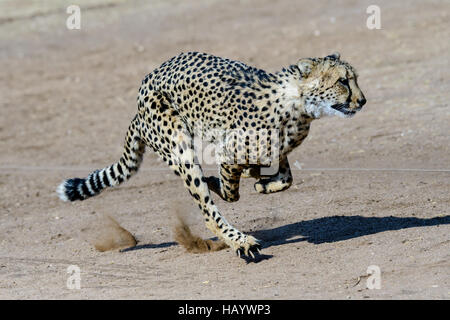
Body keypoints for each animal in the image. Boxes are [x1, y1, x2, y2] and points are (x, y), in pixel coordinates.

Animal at [57, 51, 366, 258]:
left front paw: (260, 182)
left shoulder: (276, 153)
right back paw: (241, 242)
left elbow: (284, 179)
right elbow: (231, 191)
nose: (362, 101)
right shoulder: (227, 152)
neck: (297, 105)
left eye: (354, 79)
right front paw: (225, 182)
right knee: (207, 211)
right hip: (180, 147)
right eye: (343, 81)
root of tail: (143, 92)